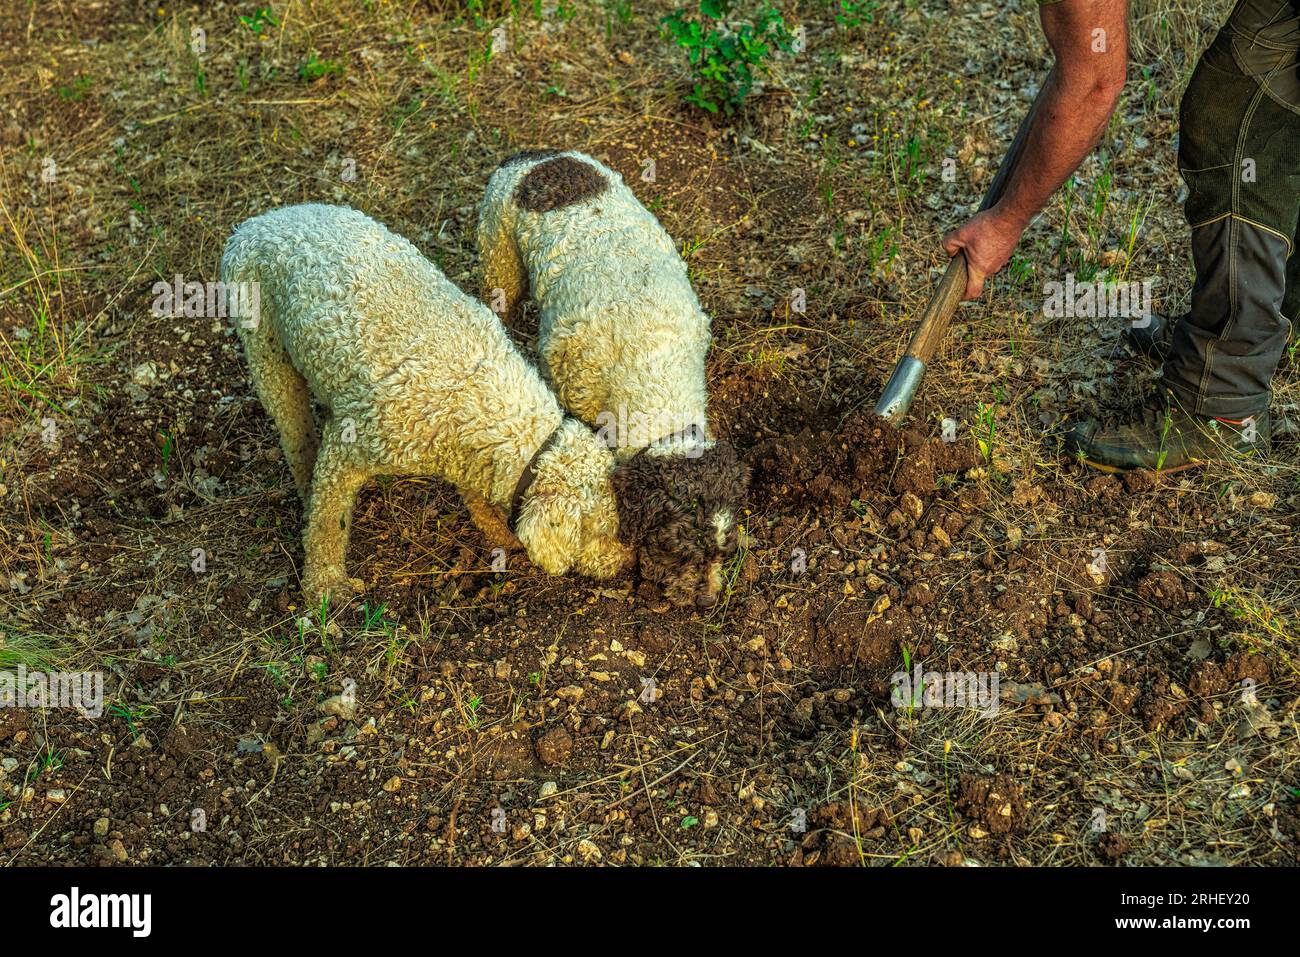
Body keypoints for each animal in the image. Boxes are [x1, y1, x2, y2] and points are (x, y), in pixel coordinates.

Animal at [223, 204, 629, 605]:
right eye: (598, 532)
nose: (624, 563)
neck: (476, 395)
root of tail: (256, 223)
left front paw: (499, 532)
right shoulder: (348, 448)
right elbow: (328, 524)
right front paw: (324, 585)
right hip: (265, 349)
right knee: (294, 431)